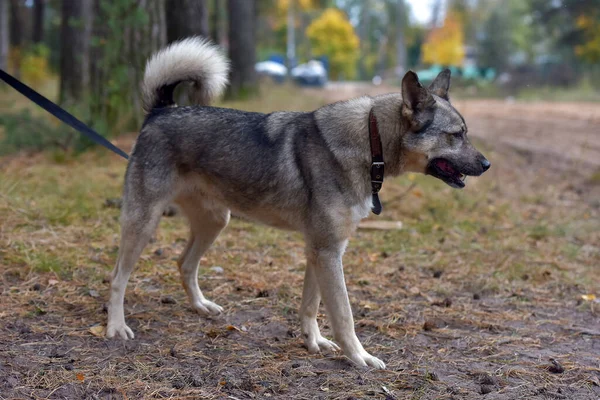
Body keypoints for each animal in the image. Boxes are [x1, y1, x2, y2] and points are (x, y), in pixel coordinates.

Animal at [105, 37, 490, 368]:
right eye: (456, 135)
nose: (486, 165)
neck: (371, 142)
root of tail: (161, 111)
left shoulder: (322, 250)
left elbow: (310, 306)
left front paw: (313, 342)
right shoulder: (327, 252)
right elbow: (344, 315)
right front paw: (359, 357)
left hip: (215, 222)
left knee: (184, 264)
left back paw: (200, 306)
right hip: (143, 224)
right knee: (118, 277)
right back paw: (115, 326)